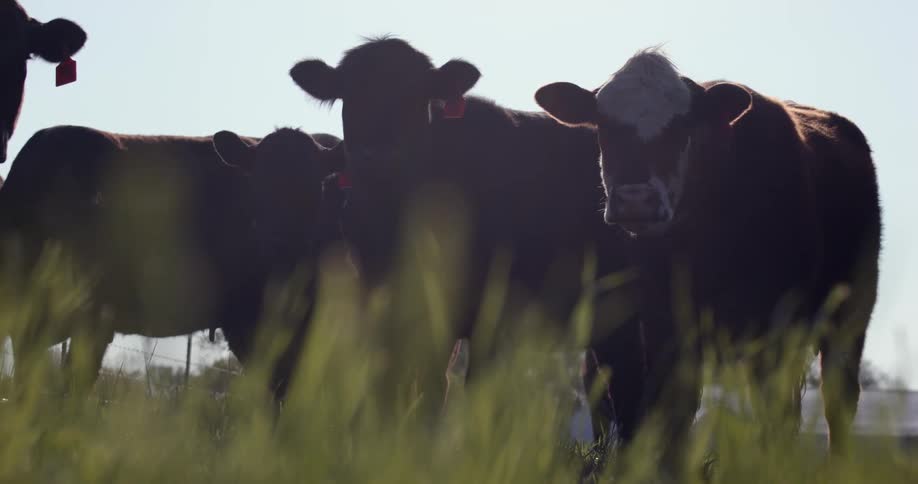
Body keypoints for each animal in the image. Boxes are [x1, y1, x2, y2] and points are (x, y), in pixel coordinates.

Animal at [535, 48, 881, 463]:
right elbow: (670, 405)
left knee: (836, 397)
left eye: (682, 127)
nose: (636, 200)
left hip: (851, 312)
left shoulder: (777, 324)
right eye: (603, 126)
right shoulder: (666, 323)